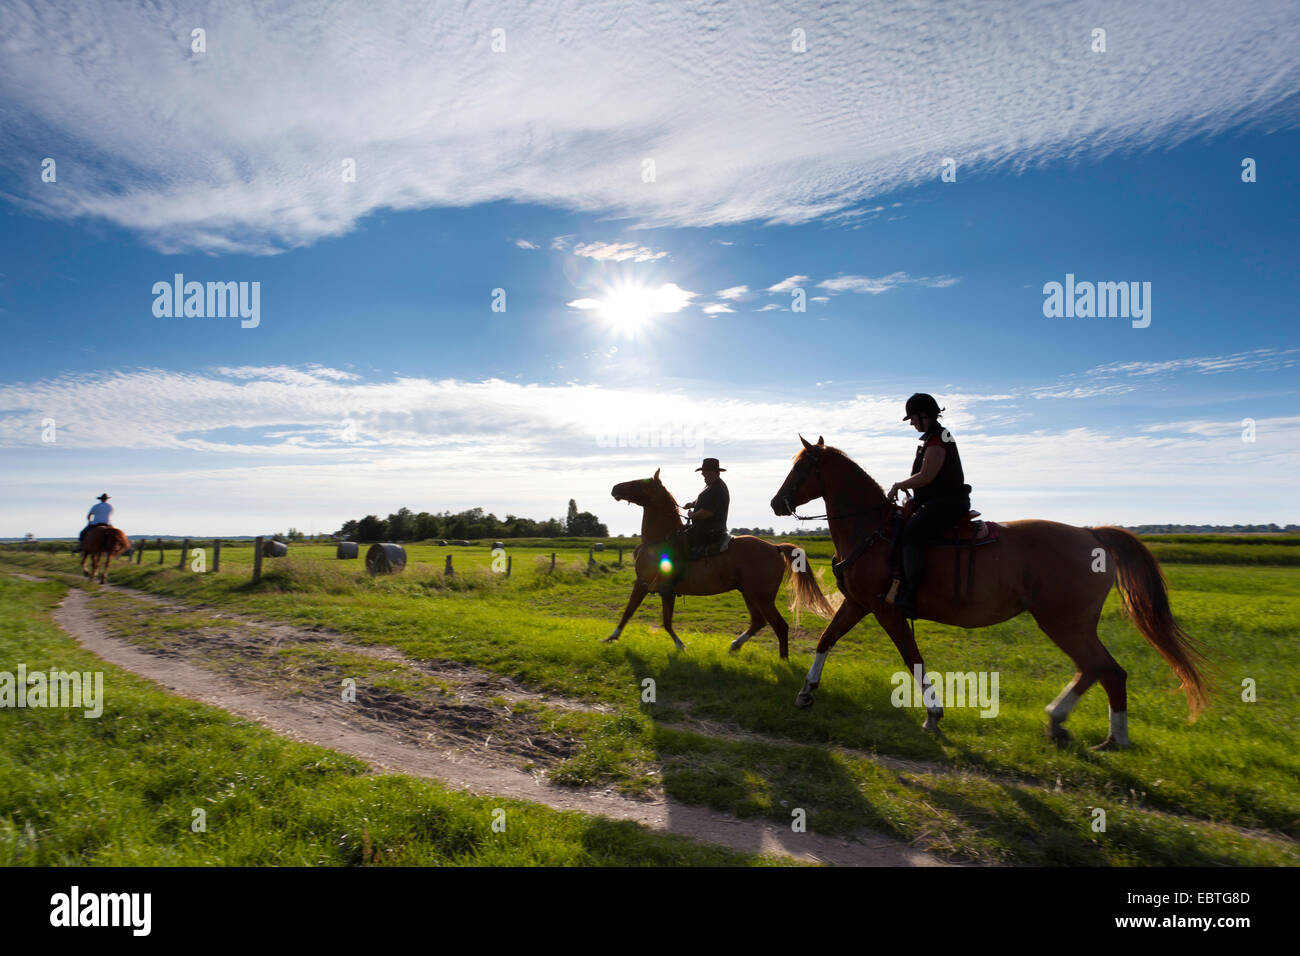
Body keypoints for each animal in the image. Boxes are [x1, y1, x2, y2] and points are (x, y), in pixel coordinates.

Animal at [605, 468, 832, 658]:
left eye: (639, 483)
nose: (615, 488)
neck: (660, 539)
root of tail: (774, 547)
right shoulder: (661, 590)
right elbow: (657, 619)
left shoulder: (645, 584)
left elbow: (636, 613)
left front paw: (612, 637)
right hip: (749, 593)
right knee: (758, 622)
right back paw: (735, 646)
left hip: (762, 597)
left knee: (779, 626)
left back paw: (783, 661)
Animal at [769, 437, 1206, 749]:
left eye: (801, 468)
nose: (776, 502)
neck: (872, 531)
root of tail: (1091, 534)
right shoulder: (859, 604)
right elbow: (826, 640)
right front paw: (806, 691)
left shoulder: (885, 610)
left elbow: (913, 659)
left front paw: (933, 714)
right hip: (1070, 625)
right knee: (1096, 670)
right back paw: (1065, 724)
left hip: (1064, 623)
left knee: (1106, 670)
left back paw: (1111, 737)